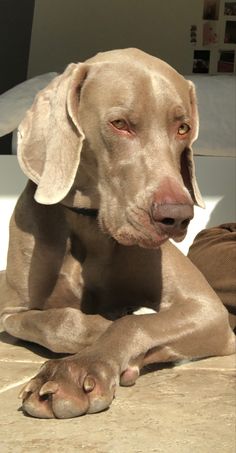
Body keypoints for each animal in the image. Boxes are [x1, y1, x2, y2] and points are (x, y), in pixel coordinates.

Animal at [0, 48, 234, 416]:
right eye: (120, 124)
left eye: (183, 128)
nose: (178, 217)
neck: (90, 226)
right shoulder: (11, 310)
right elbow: (54, 321)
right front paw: (101, 325)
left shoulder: (208, 310)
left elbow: (135, 322)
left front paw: (76, 370)